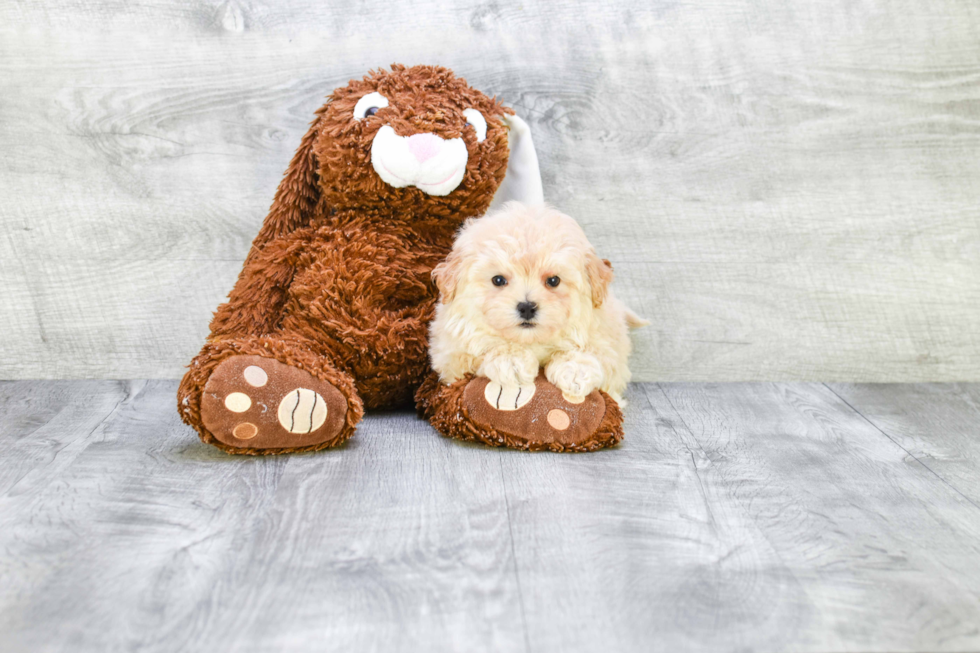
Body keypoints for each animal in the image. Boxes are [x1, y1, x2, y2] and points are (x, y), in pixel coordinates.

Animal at [430, 201, 648, 404]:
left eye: (553, 281)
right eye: (498, 280)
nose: (527, 307)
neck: (532, 341)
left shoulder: (610, 351)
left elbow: (591, 354)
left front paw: (575, 371)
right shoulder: (450, 356)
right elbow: (480, 351)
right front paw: (512, 360)